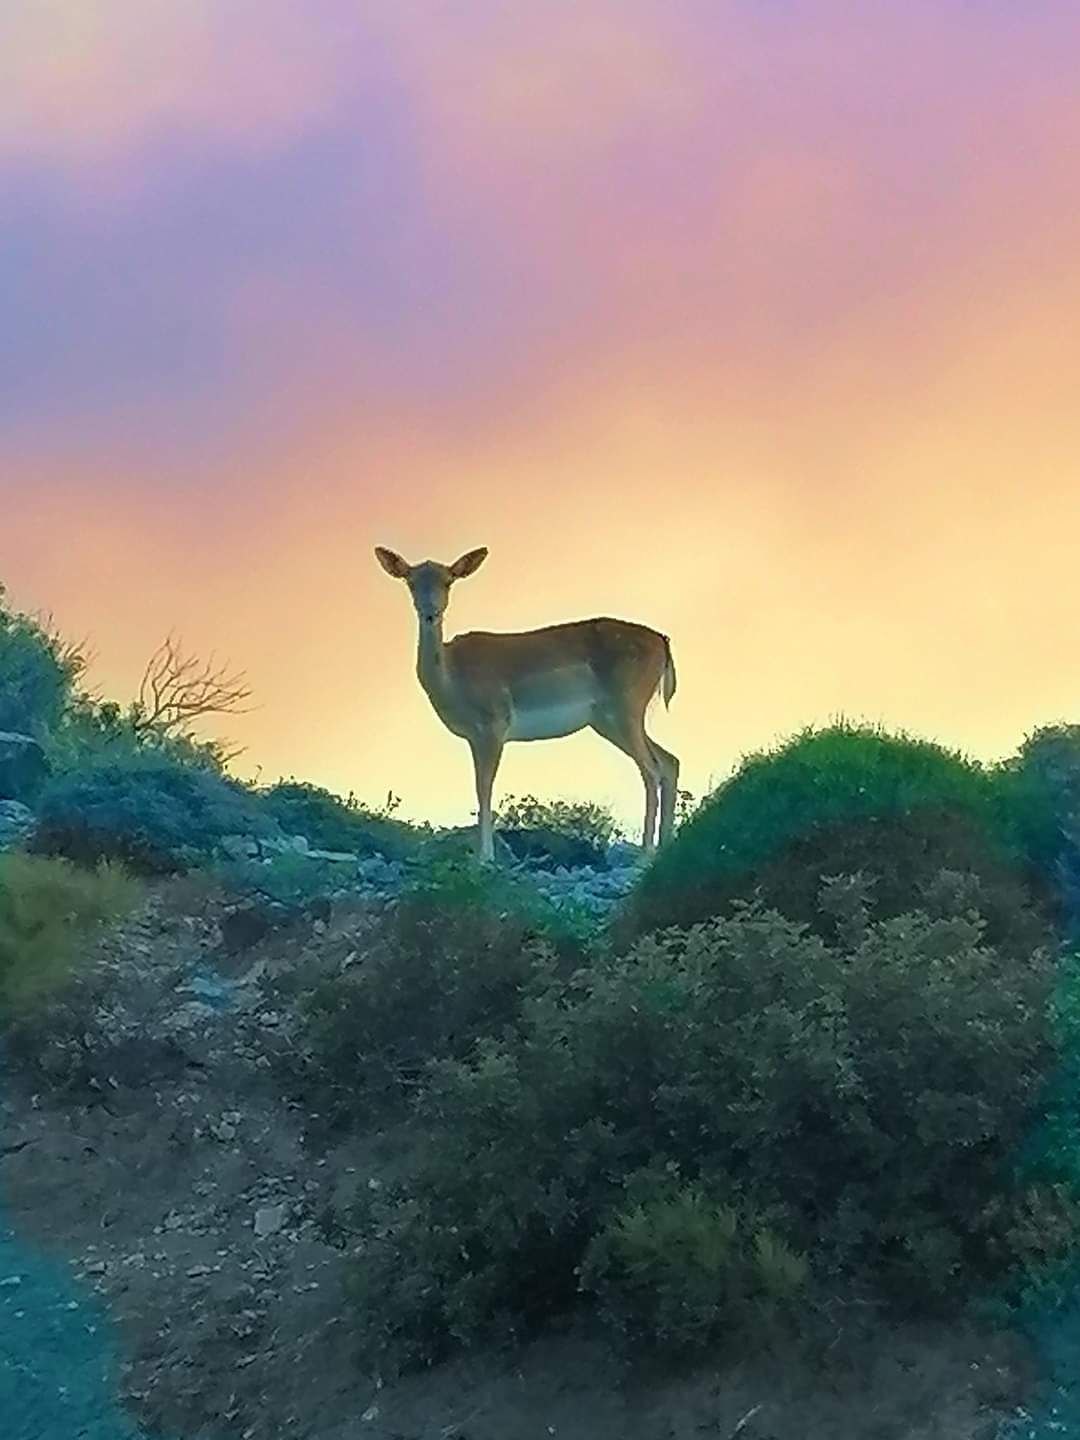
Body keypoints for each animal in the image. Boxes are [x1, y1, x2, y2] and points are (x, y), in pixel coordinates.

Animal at [371, 544, 676, 858]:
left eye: (448, 581)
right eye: (410, 581)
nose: (430, 613)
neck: (453, 681)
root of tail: (663, 642)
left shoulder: (494, 723)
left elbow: (485, 787)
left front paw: (486, 857)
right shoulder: (473, 736)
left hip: (626, 706)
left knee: (652, 769)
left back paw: (646, 852)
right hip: (609, 719)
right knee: (669, 761)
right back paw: (665, 845)